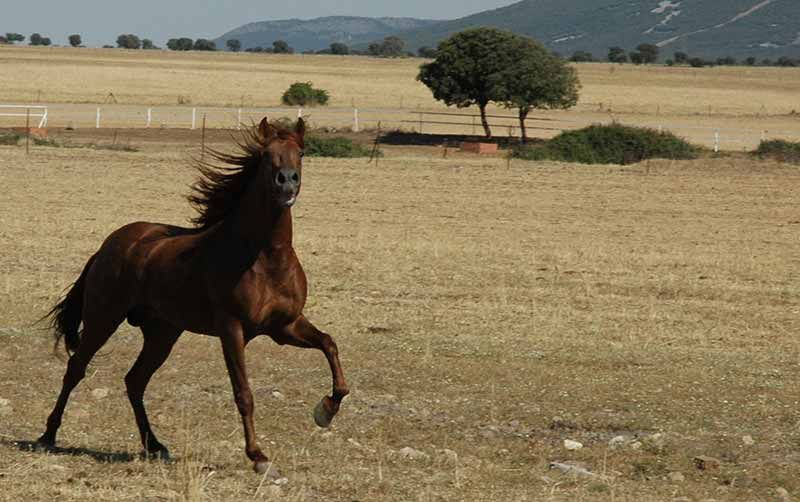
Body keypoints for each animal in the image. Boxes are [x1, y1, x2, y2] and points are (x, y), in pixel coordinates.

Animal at [37, 117, 348, 474]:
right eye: (266, 154)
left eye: (301, 152)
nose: (287, 183)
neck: (265, 257)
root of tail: (109, 245)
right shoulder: (232, 329)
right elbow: (244, 393)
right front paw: (258, 456)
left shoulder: (285, 326)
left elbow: (329, 344)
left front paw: (325, 411)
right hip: (104, 318)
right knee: (76, 369)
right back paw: (47, 435)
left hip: (163, 333)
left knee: (135, 380)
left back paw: (155, 445)